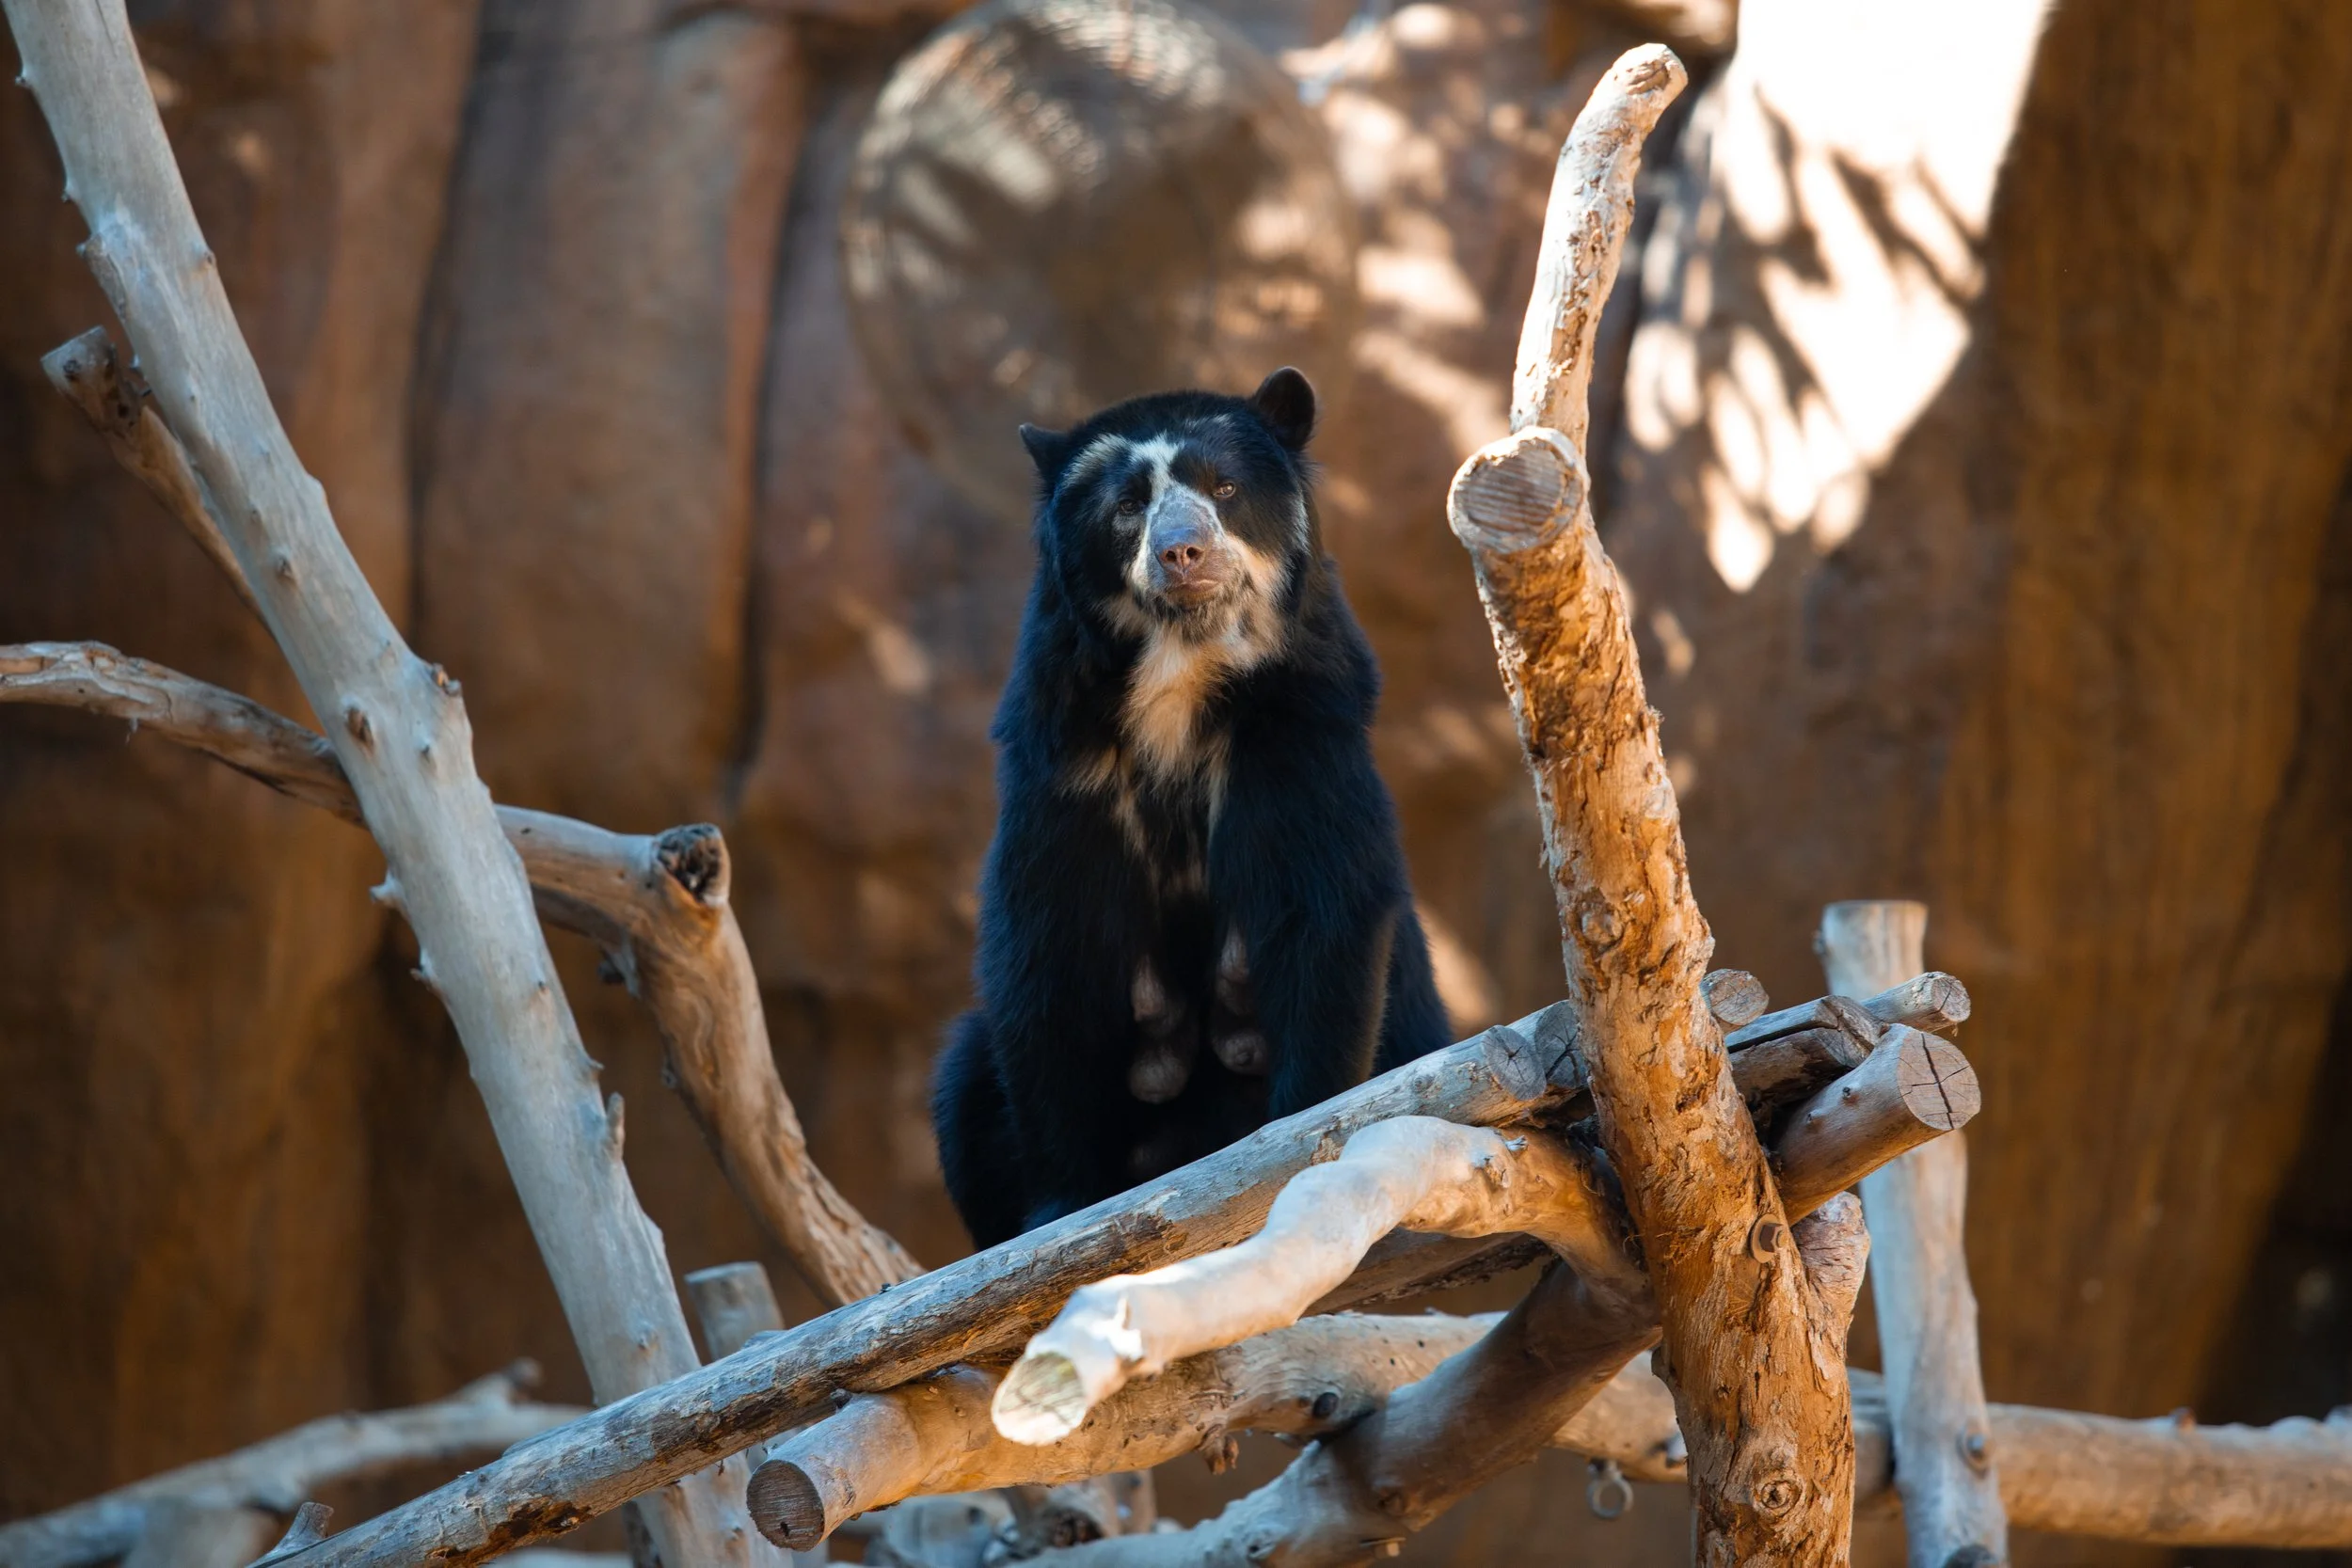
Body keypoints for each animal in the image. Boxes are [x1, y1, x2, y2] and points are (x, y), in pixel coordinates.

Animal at [930, 367, 1453, 1249]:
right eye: (1127, 506)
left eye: (1225, 487)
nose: (1183, 552)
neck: (1184, 669)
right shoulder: (1060, 768)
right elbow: (1049, 956)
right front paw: (1060, 1206)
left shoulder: (1302, 732)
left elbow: (1327, 919)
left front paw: (1300, 1140)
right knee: (964, 1075)